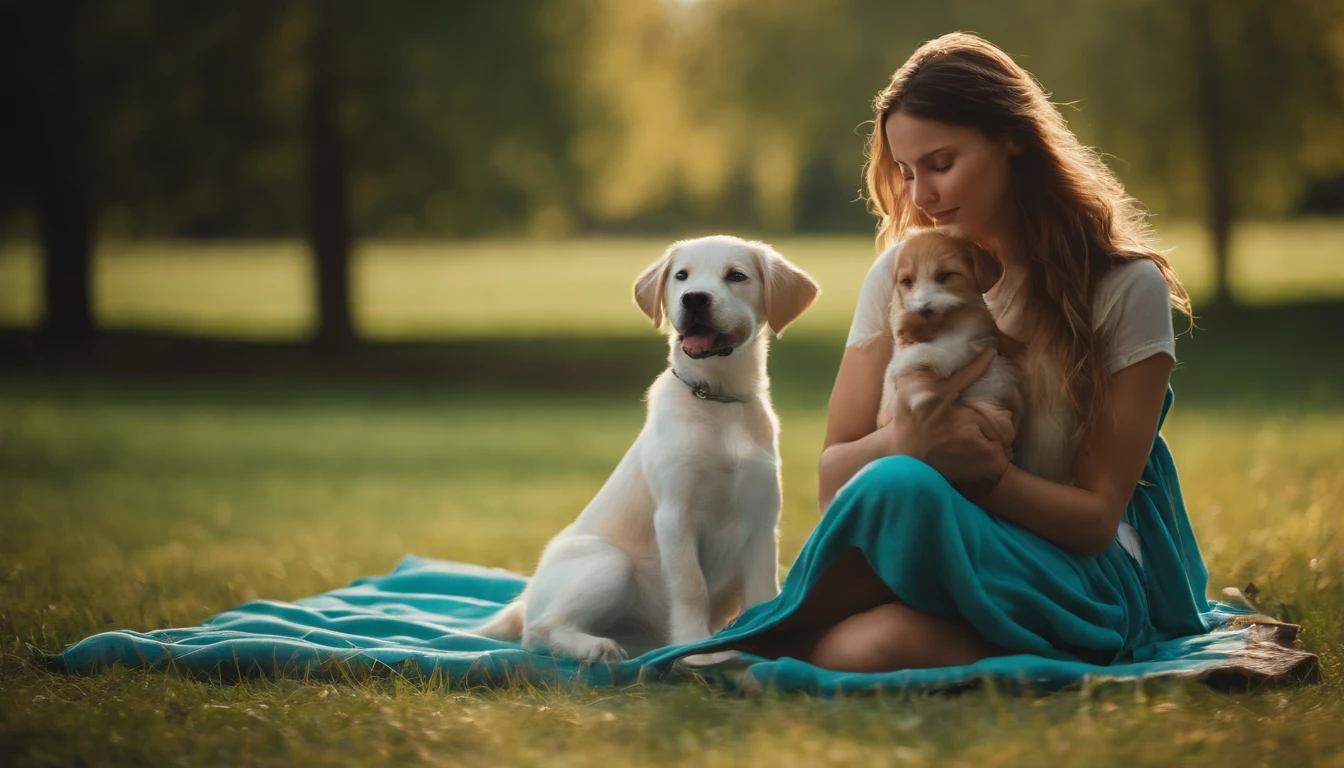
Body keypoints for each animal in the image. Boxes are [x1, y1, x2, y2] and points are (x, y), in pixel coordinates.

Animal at [478, 234, 822, 661]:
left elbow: (763, 593)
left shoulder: (762, 521)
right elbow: (691, 587)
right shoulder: (675, 515)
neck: (717, 399)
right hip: (610, 561)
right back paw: (595, 647)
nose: (694, 299)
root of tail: (526, 600)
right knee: (537, 632)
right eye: (681, 276)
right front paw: (695, 648)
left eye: (736, 276)